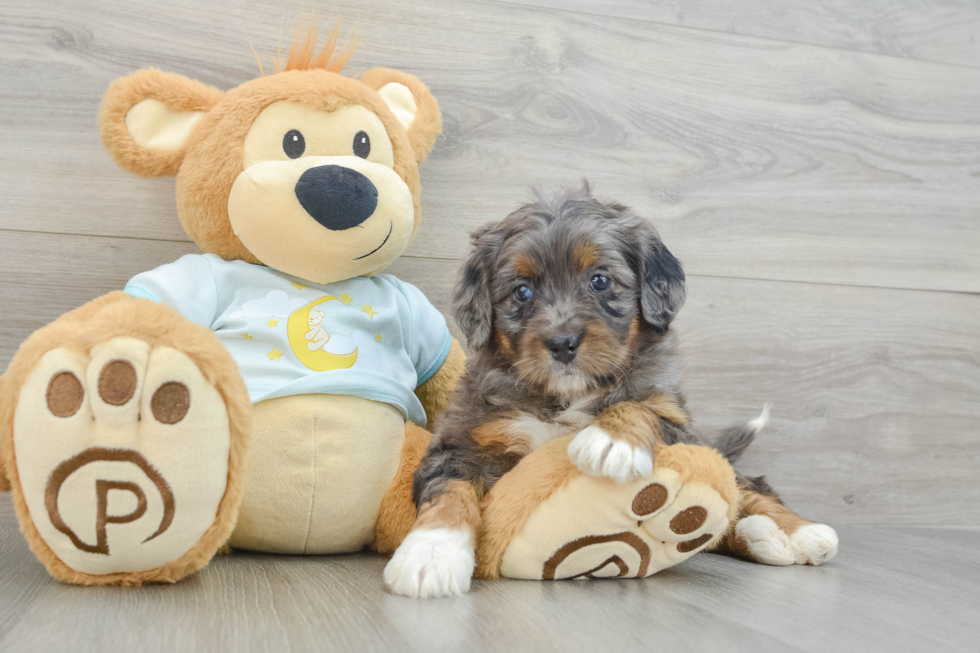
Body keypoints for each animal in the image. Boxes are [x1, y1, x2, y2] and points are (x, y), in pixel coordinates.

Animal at [382, 183, 836, 596]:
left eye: (600, 281)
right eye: (522, 291)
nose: (562, 343)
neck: (566, 395)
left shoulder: (677, 419)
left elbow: (642, 405)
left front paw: (610, 441)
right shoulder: (462, 439)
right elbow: (449, 491)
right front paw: (430, 556)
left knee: (750, 487)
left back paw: (799, 533)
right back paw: (761, 535)